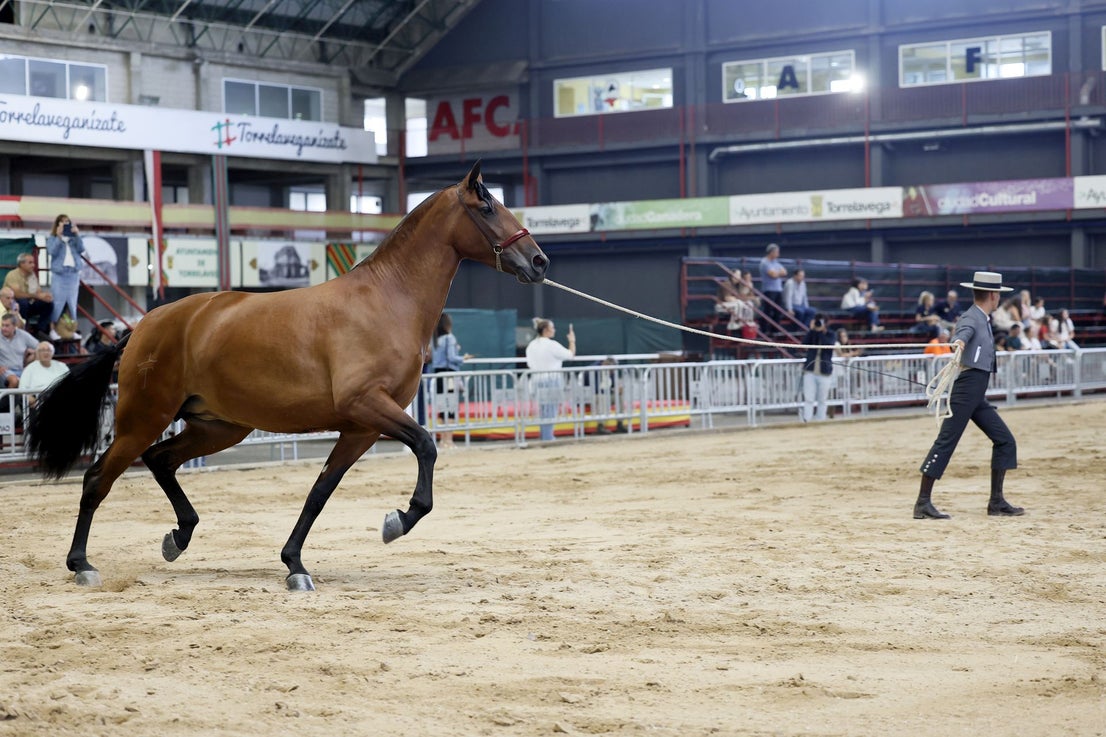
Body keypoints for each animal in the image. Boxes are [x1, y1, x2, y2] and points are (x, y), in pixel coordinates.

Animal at [26, 161, 549, 592]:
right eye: (486, 206)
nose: (539, 262)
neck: (387, 301)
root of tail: (142, 327)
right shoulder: (368, 406)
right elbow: (426, 446)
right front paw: (397, 521)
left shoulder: (361, 428)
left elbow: (319, 492)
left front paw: (295, 564)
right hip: (142, 419)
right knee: (98, 477)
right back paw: (82, 564)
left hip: (219, 427)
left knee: (161, 461)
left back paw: (179, 536)